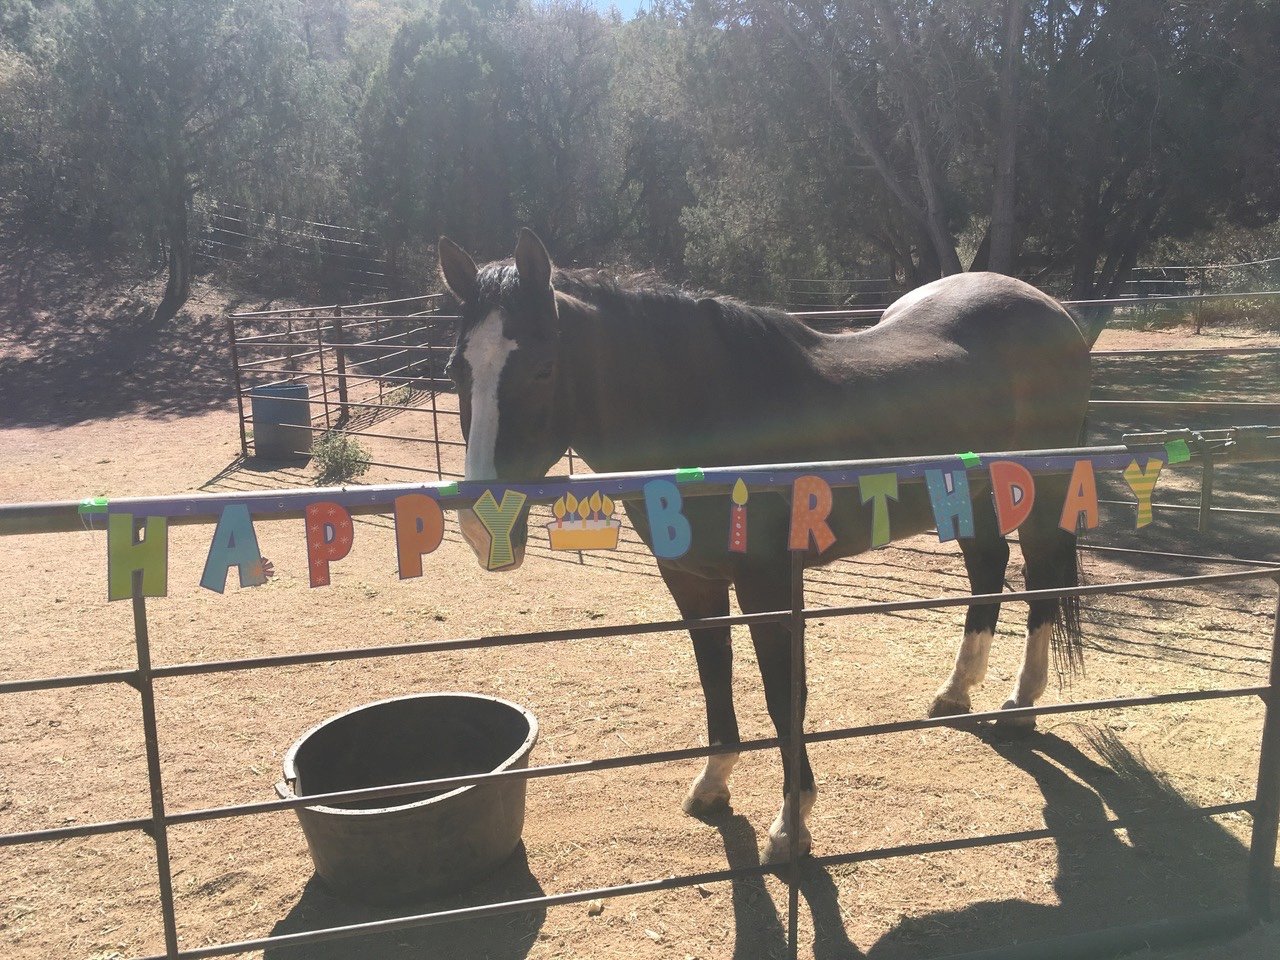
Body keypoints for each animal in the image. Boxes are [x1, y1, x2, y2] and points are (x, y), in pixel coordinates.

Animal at [437, 228, 1091, 863]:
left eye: (544, 369)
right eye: (455, 370)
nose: (482, 523)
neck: (712, 416)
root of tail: (1051, 309)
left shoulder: (768, 584)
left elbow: (782, 696)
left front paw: (791, 825)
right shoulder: (691, 579)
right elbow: (715, 678)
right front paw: (712, 785)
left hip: (1040, 496)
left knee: (1042, 583)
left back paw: (1021, 707)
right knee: (989, 567)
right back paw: (955, 693)